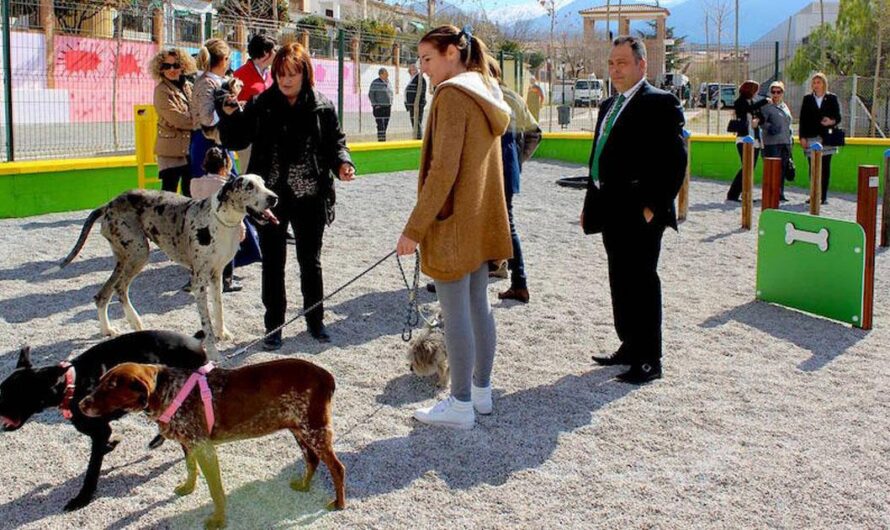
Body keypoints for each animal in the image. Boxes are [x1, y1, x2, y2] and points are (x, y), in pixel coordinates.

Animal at [0, 330, 206, 508]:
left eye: (13, 396)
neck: (72, 384)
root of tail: (196, 341)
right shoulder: (99, 430)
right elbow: (102, 448)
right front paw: (111, 445)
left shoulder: (99, 431)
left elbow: (92, 468)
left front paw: (83, 497)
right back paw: (157, 441)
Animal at [80, 356, 344, 524]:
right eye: (100, 381)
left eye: (112, 386)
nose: (82, 404)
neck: (169, 391)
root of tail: (327, 376)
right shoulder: (189, 444)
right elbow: (191, 469)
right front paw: (188, 488)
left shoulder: (204, 447)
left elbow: (216, 490)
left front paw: (218, 519)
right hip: (300, 430)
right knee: (312, 460)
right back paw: (304, 485)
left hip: (315, 431)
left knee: (337, 468)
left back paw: (339, 504)